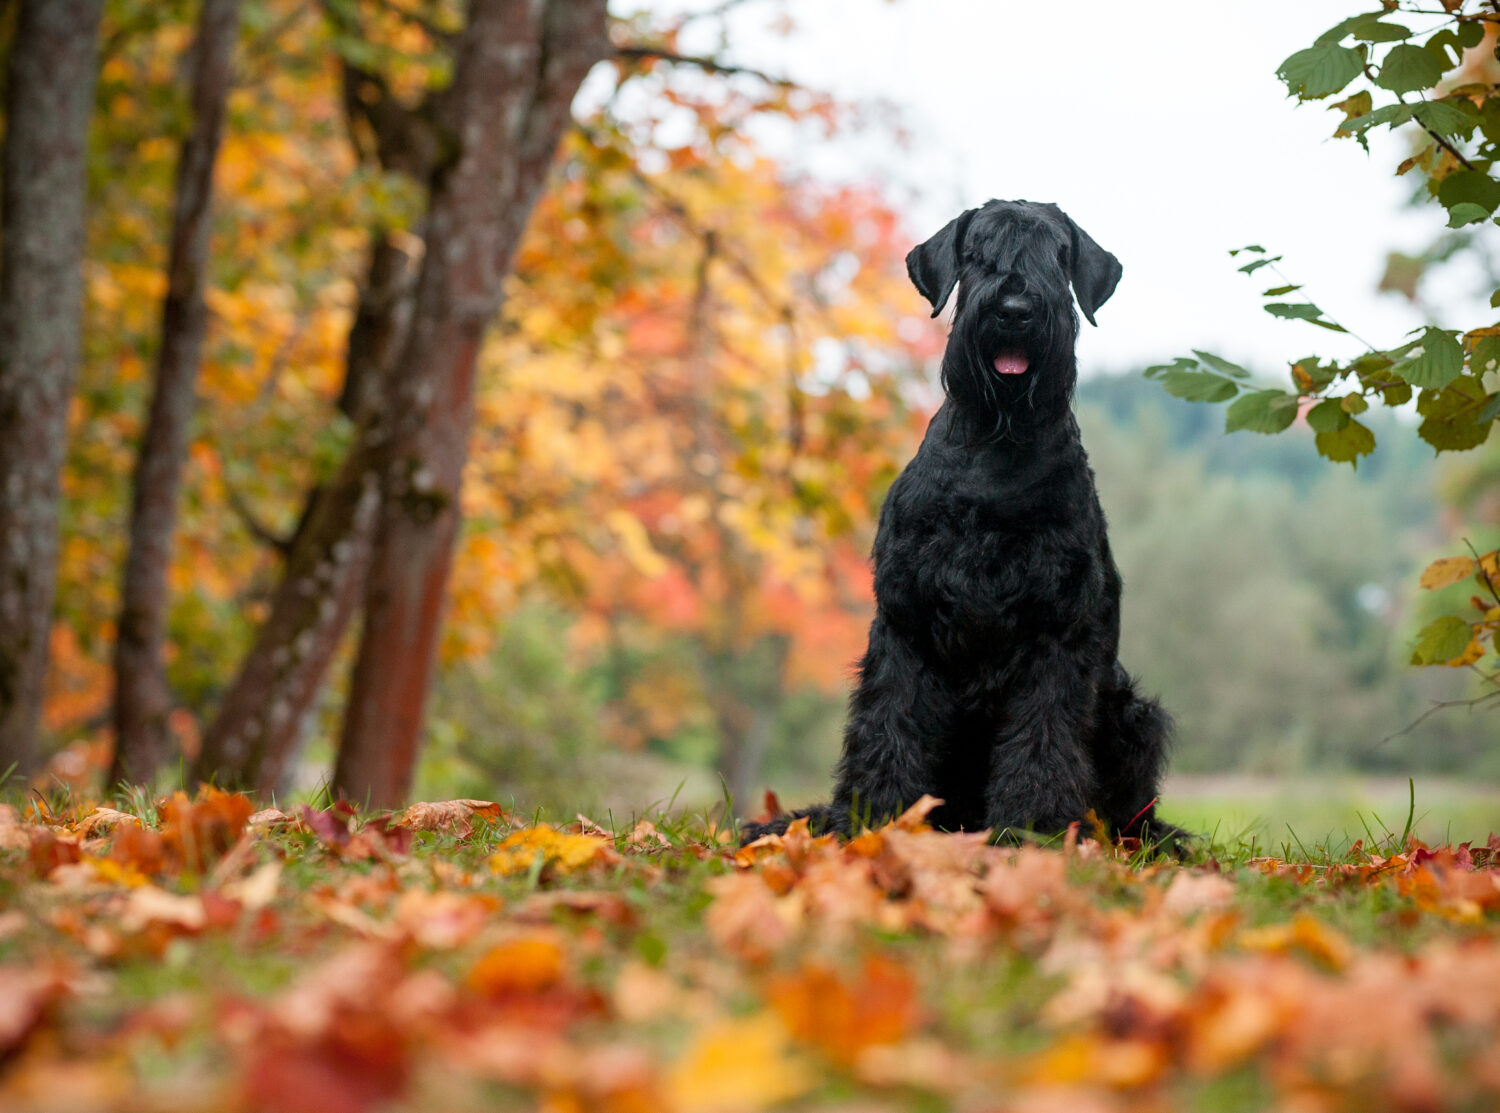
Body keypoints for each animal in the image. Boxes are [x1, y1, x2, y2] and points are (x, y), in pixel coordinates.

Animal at [744, 201, 1176, 846]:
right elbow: (888, 723)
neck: (997, 444)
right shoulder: (907, 619)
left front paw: (1032, 831)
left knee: (1133, 810)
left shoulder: (1057, 630)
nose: (1015, 308)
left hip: (1131, 712)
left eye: (1058, 255)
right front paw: (872, 823)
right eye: (977, 253)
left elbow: (1043, 735)